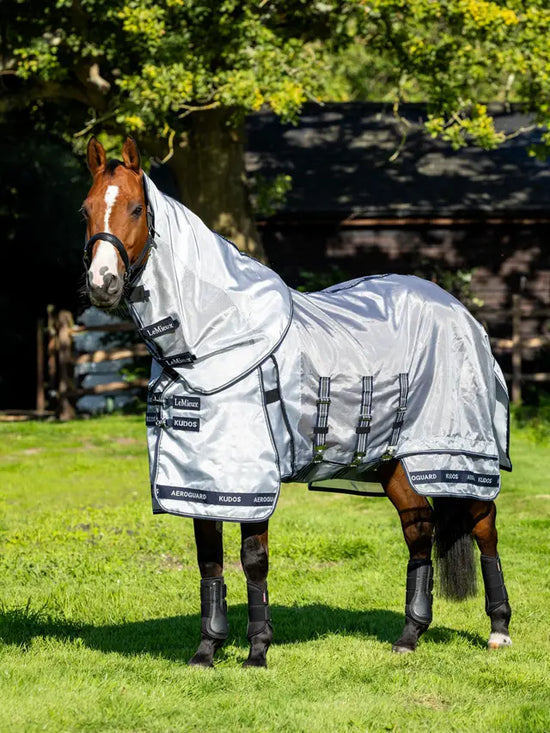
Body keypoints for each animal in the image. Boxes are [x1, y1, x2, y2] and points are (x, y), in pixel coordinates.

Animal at [82, 136, 512, 668]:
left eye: (137, 209)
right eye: (86, 210)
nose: (102, 284)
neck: (213, 341)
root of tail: (462, 312)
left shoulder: (250, 481)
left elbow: (253, 560)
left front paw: (257, 651)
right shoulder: (200, 479)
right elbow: (209, 560)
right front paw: (207, 650)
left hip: (455, 455)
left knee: (484, 525)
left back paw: (498, 631)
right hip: (394, 462)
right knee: (420, 530)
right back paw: (409, 635)